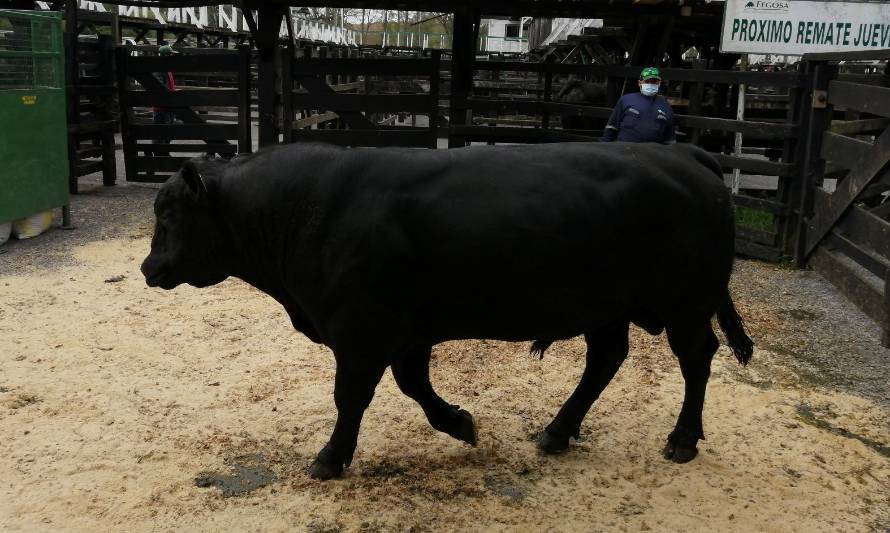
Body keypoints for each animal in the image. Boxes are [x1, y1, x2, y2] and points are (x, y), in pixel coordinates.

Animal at [142, 139, 752, 480]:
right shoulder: (404, 334)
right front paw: (460, 423)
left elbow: (351, 398)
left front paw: (331, 457)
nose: (149, 268)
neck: (307, 209)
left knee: (696, 358)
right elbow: (415, 388)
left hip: (686, 303)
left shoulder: (361, 334)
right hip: (607, 306)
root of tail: (682, 153)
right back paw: (557, 431)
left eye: (169, 214)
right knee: (606, 358)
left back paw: (682, 439)